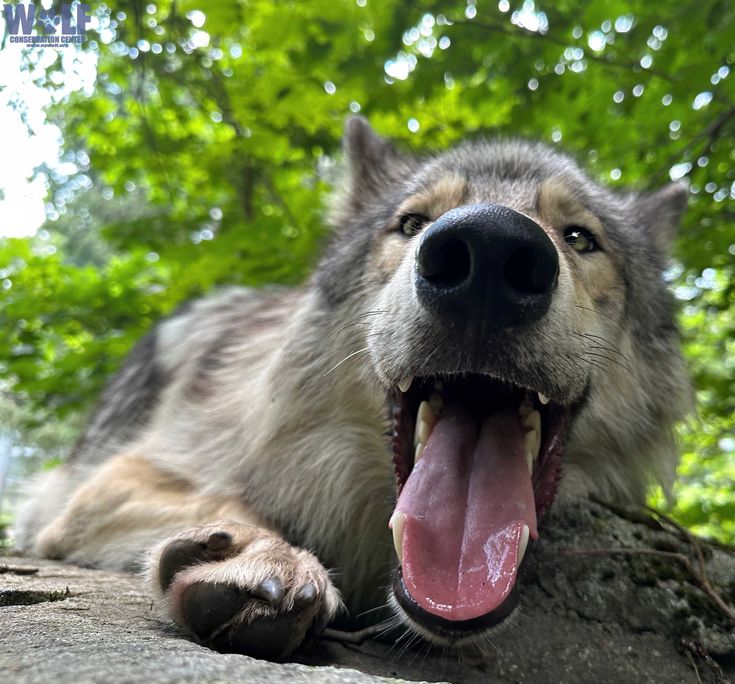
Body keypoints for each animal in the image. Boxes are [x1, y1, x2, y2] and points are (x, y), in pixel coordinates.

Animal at [18, 117, 696, 656]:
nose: (489, 250)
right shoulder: (116, 477)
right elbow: (227, 498)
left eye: (580, 236)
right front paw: (257, 553)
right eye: (412, 223)